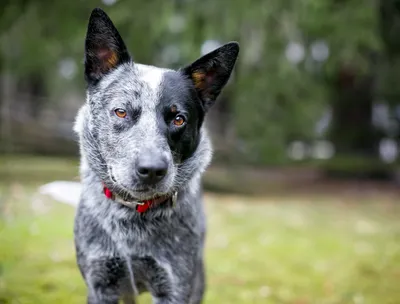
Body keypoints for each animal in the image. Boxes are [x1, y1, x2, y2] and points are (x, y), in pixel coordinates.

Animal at [73, 7, 239, 304]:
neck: (131, 215)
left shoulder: (175, 286)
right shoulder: (100, 282)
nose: (152, 170)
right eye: (121, 111)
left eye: (178, 119)